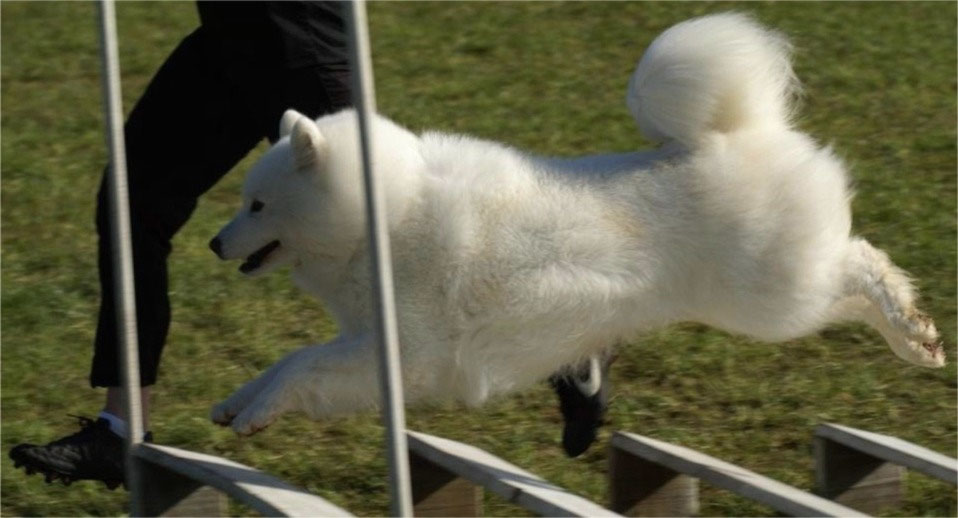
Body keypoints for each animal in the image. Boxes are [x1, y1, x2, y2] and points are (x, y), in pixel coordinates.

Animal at [208, 12, 944, 436]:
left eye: (257, 206)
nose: (213, 243)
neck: (385, 217)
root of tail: (737, 132)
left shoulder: (405, 353)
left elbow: (304, 365)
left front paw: (256, 412)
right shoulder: (371, 345)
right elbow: (292, 361)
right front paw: (236, 404)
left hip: (773, 301)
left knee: (861, 265)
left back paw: (912, 329)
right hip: (784, 301)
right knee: (858, 275)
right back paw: (917, 340)